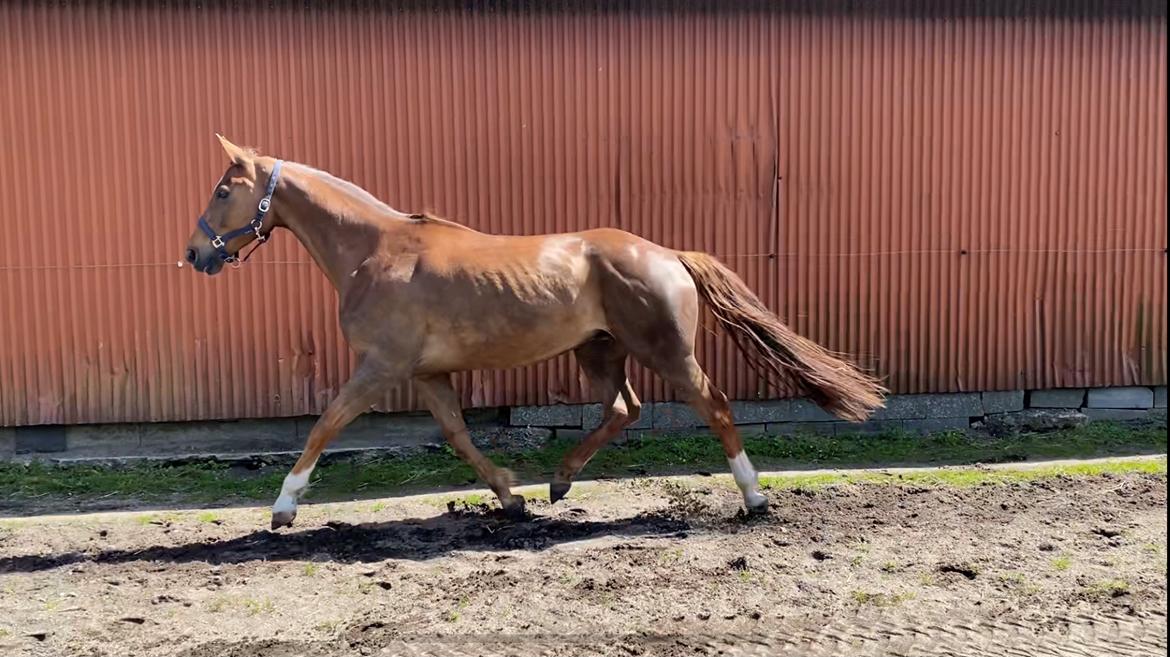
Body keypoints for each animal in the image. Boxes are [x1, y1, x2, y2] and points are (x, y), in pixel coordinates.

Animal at [184, 136, 884, 526]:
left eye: (221, 189)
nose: (194, 254)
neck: (376, 250)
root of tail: (669, 254)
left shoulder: (380, 368)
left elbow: (325, 424)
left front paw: (282, 509)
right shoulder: (428, 374)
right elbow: (458, 435)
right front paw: (509, 497)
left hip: (664, 351)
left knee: (713, 406)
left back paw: (754, 499)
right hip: (601, 352)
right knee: (624, 409)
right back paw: (559, 480)